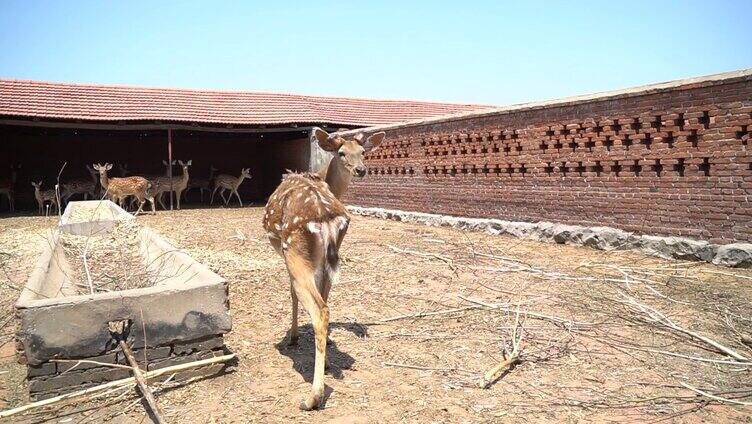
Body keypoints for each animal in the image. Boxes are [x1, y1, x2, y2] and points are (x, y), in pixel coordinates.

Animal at [262, 127, 382, 410]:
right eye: (342, 153)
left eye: (363, 152)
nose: (361, 169)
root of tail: (326, 218)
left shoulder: (285, 255)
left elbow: (291, 293)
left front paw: (293, 336)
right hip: (329, 257)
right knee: (326, 305)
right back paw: (325, 364)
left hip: (294, 252)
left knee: (318, 309)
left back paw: (312, 397)